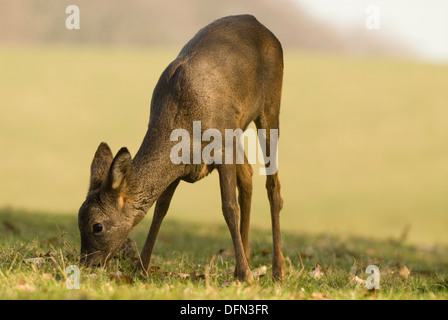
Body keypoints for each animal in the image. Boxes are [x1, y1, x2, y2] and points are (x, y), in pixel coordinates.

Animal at [76, 14, 286, 282]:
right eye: (78, 220)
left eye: (97, 226)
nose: (86, 264)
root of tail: (257, 21)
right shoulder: (182, 165)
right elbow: (160, 210)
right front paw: (140, 269)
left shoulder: (222, 148)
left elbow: (229, 208)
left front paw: (245, 276)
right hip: (237, 128)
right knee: (248, 175)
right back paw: (247, 260)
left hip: (270, 103)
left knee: (272, 184)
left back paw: (277, 269)